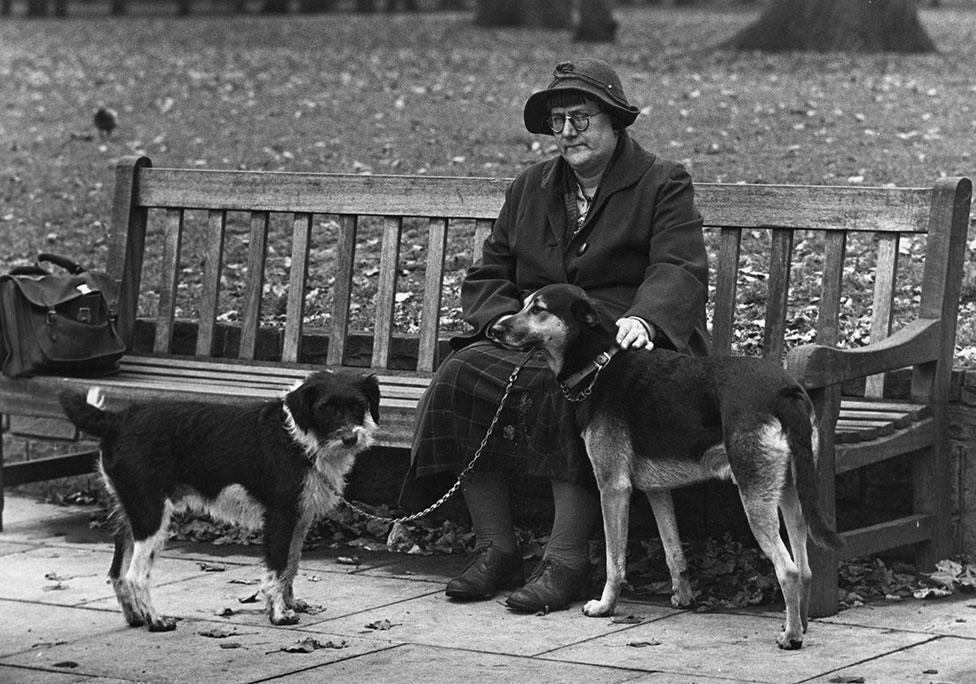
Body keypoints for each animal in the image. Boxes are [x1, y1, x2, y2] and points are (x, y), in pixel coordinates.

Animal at [57, 372, 378, 632]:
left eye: (358, 405)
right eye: (326, 408)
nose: (351, 438)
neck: (298, 437)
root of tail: (118, 419)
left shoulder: (300, 519)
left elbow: (291, 564)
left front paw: (290, 602)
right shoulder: (280, 516)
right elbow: (276, 568)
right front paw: (277, 614)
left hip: (130, 513)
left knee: (117, 573)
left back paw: (136, 617)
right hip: (151, 516)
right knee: (135, 575)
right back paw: (156, 621)